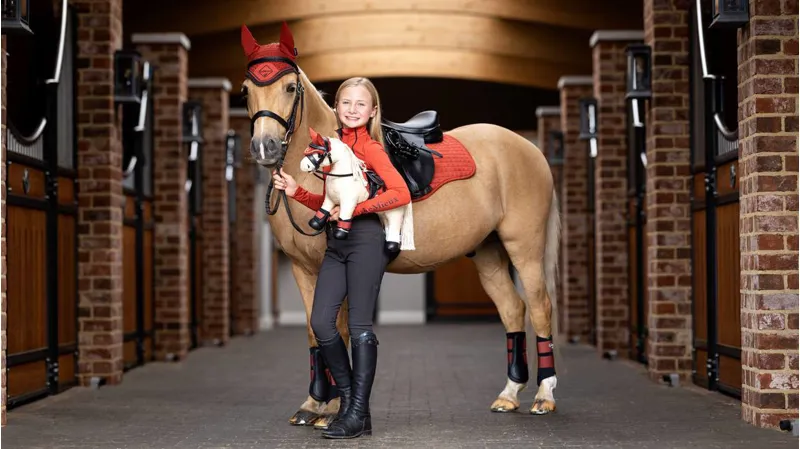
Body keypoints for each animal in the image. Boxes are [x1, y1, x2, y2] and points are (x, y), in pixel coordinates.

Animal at [239, 23, 561, 428]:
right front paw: (313, 404)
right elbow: (315, 329)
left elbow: (338, 328)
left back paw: (544, 396)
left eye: (289, 88)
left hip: (525, 249)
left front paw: (332, 409)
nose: (264, 146)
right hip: (488, 253)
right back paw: (508, 394)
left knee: (540, 307)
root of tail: (529, 147)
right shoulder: (302, 268)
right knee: (513, 308)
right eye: (245, 90)